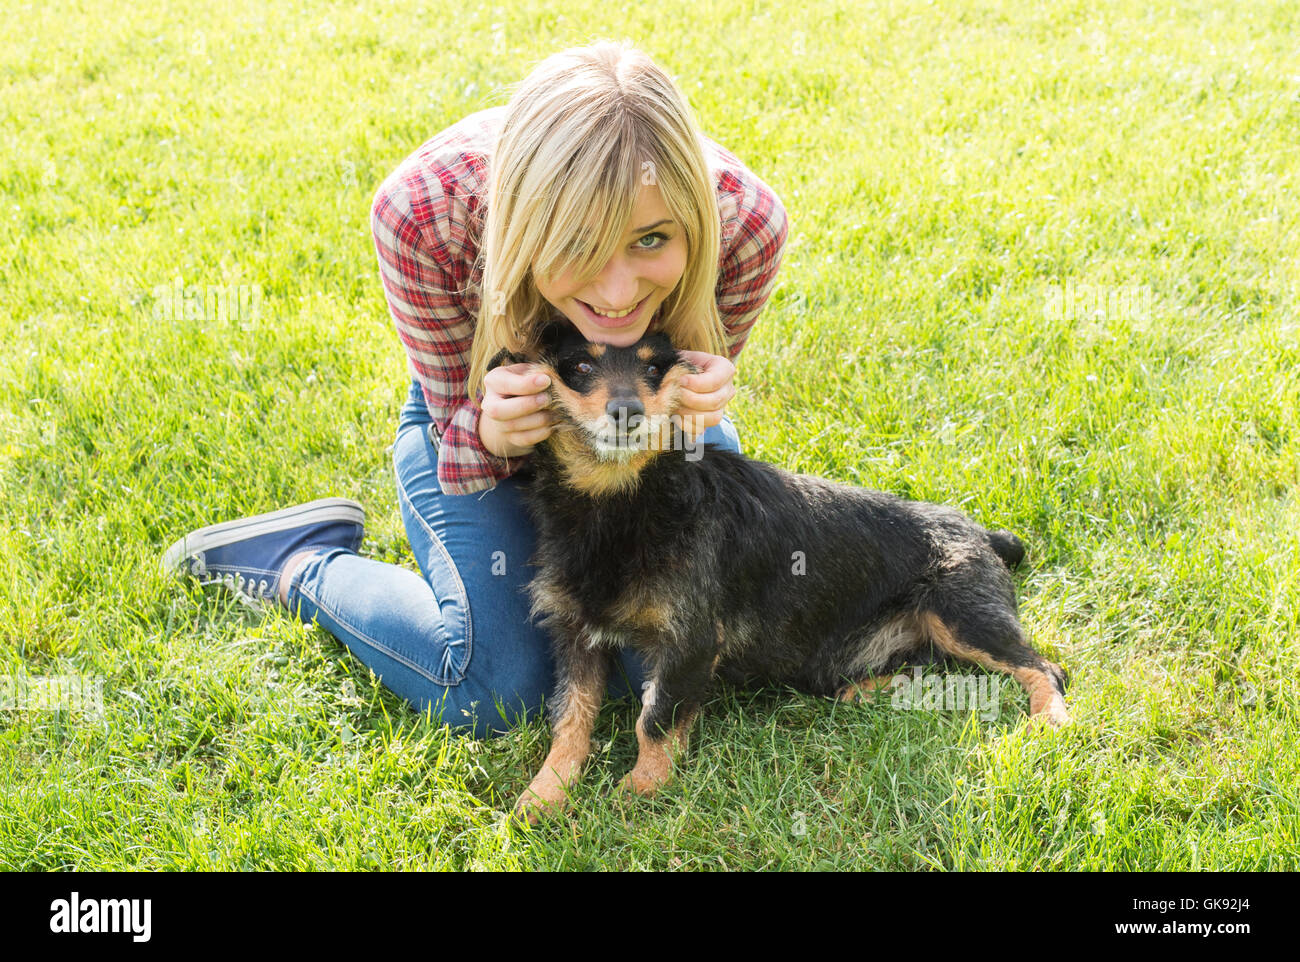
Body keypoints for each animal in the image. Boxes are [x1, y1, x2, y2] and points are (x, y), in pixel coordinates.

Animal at [491, 321, 1071, 821]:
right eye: (580, 366)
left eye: (655, 368)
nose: (626, 411)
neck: (621, 501)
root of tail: (981, 532)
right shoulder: (576, 633)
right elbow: (570, 718)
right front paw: (544, 794)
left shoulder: (690, 641)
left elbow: (654, 718)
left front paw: (639, 792)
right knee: (930, 669)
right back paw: (868, 692)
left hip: (963, 615)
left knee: (1043, 668)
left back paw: (1051, 719)